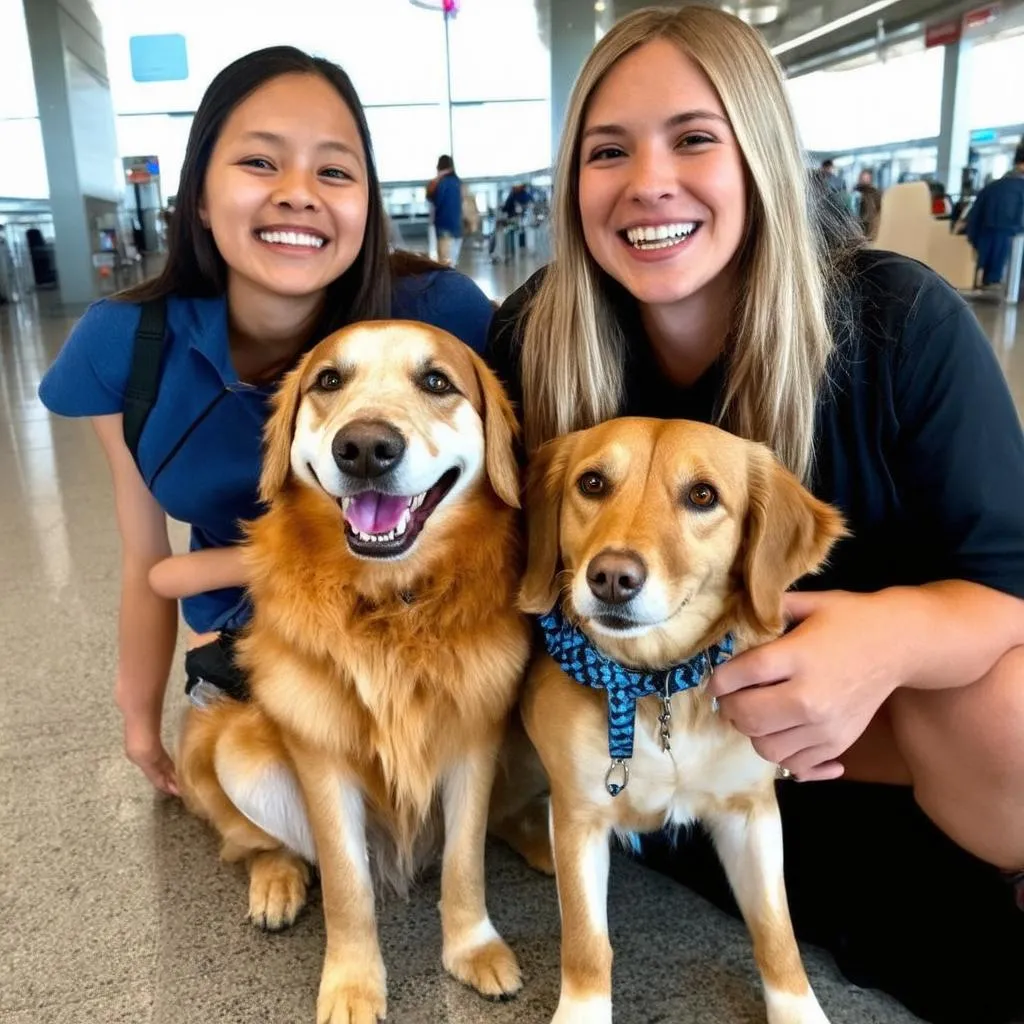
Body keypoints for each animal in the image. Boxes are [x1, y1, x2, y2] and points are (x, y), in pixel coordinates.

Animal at [176, 321, 528, 1024]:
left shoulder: (474, 740)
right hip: (235, 750)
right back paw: (276, 881)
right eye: (329, 380)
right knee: (254, 842)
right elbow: (346, 886)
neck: (391, 602)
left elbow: (464, 863)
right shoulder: (321, 757)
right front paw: (352, 983)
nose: (365, 448)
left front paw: (472, 947)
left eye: (437, 381)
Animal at [520, 415, 847, 1024]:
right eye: (593, 483)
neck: (659, 682)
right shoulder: (579, 816)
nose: (612, 577)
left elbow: (777, 935)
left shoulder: (751, 814)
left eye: (702, 496)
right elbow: (586, 943)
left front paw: (799, 1010)